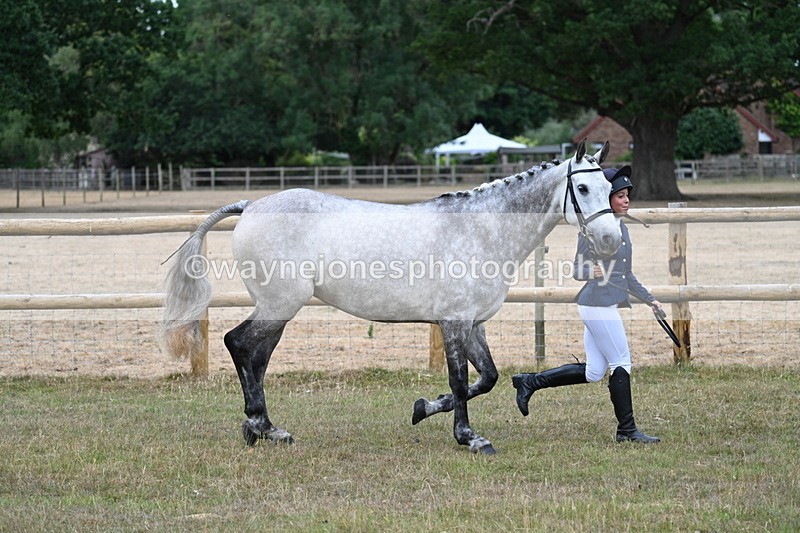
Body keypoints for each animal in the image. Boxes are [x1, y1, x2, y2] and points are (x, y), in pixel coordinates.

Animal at [160, 139, 621, 454]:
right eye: (582, 190)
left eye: (607, 186)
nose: (610, 240)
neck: (481, 229)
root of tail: (252, 204)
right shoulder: (454, 322)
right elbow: (459, 380)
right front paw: (469, 437)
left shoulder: (473, 324)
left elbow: (486, 378)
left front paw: (424, 408)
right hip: (279, 305)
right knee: (239, 344)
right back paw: (260, 425)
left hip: (279, 309)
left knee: (256, 356)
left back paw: (265, 429)